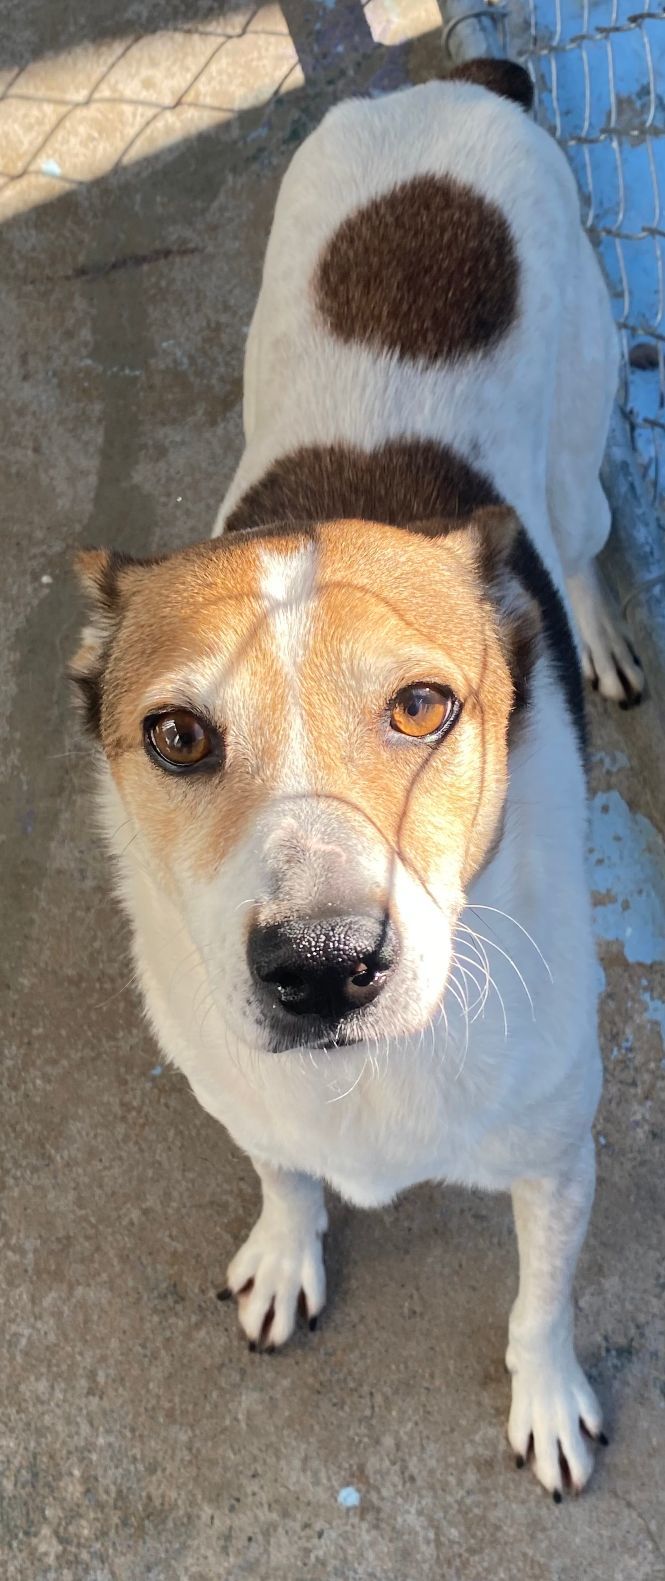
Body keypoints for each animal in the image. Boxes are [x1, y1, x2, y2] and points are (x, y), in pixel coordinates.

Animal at [71, 61, 641, 1492]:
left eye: (424, 706)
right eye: (176, 737)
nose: (324, 967)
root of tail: (446, 78)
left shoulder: (557, 1152)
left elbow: (539, 1300)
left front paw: (547, 1400)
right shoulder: (245, 1097)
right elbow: (283, 1172)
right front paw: (286, 1251)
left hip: (578, 447)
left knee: (583, 529)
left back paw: (598, 631)